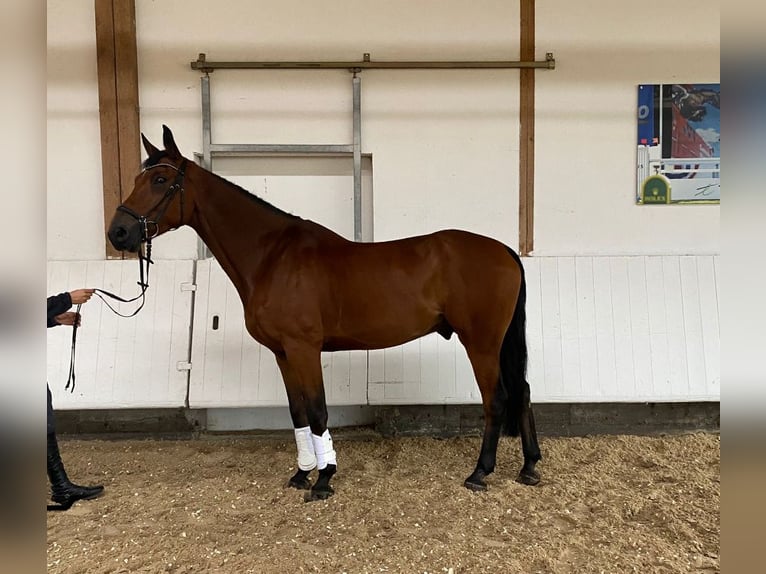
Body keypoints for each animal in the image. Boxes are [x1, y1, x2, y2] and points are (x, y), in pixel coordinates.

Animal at [108, 127, 544, 504]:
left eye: (160, 179)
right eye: (139, 177)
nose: (118, 233)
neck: (272, 256)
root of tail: (504, 250)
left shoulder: (304, 348)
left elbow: (318, 411)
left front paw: (324, 478)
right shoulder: (283, 354)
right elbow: (298, 412)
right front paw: (302, 473)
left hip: (482, 342)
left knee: (497, 398)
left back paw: (480, 472)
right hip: (498, 343)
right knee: (522, 391)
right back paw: (529, 468)